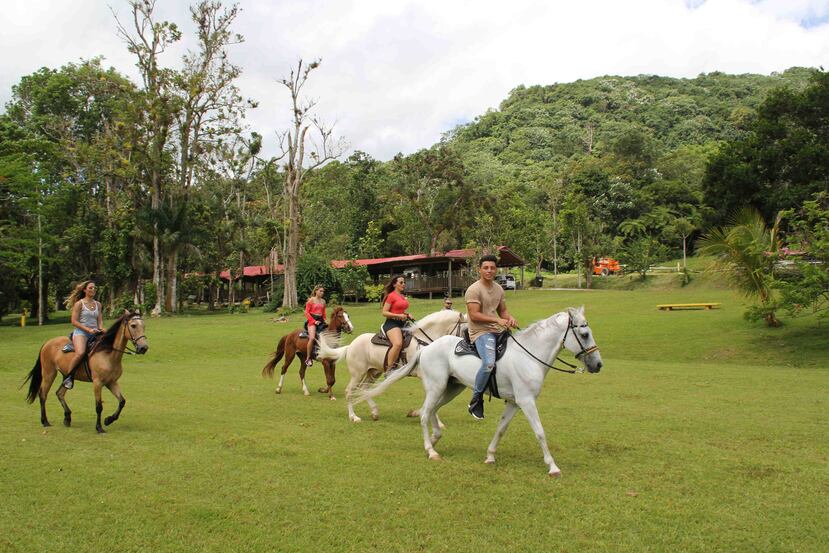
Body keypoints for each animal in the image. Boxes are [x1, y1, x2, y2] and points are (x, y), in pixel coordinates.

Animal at [316, 308, 462, 420]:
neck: (423, 341)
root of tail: (351, 345)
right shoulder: (425, 375)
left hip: (373, 372)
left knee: (364, 388)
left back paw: (374, 412)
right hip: (358, 374)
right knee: (349, 391)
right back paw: (353, 417)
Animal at [352, 306, 600, 474]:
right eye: (585, 334)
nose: (598, 365)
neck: (529, 355)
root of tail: (427, 348)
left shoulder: (514, 403)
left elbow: (501, 429)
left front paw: (490, 456)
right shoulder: (527, 401)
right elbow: (540, 432)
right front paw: (553, 466)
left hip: (452, 388)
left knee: (430, 411)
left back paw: (434, 439)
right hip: (437, 386)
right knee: (424, 413)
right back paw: (431, 450)